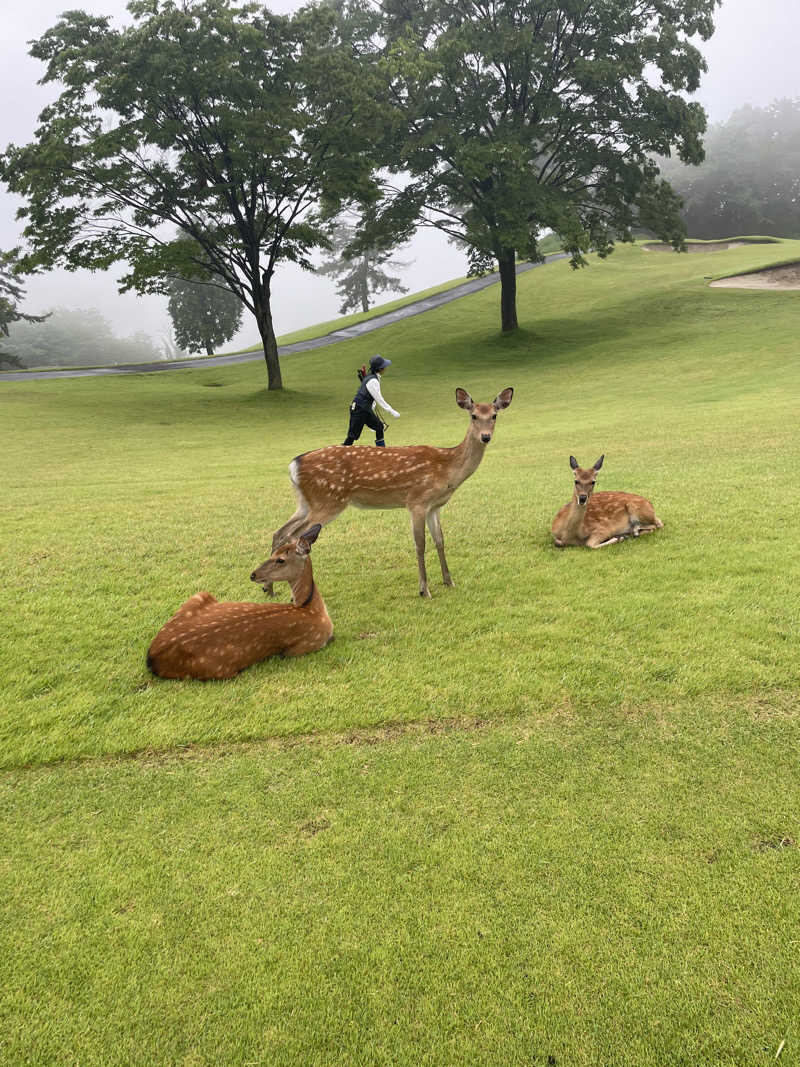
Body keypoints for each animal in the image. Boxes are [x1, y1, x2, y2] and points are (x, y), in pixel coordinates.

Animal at [146, 524, 330, 682]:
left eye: (281, 559)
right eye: (273, 553)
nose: (253, 574)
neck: (310, 607)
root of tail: (152, 657)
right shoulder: (305, 645)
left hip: (200, 594)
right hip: (222, 670)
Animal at [270, 388, 514, 597]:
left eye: (494, 415)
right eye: (473, 416)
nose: (485, 437)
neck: (447, 470)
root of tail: (294, 465)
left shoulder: (434, 506)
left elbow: (440, 541)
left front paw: (449, 581)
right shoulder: (416, 501)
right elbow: (420, 544)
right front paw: (424, 590)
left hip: (306, 502)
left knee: (280, 532)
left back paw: (271, 589)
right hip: (328, 501)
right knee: (295, 536)